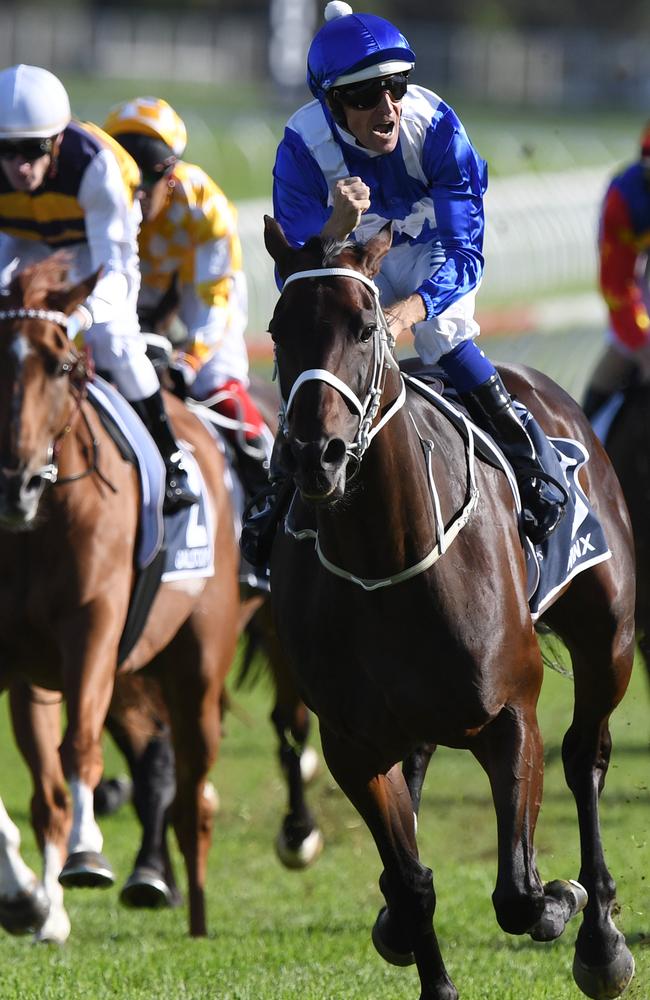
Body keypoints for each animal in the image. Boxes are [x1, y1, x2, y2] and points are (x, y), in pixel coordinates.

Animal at [0, 256, 239, 936]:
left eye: (59, 365)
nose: (15, 484)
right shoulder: (19, 661)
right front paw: (29, 900)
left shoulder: (94, 628)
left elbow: (81, 746)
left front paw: (85, 854)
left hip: (197, 668)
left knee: (192, 793)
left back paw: (194, 909)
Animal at [262, 217, 632, 1000]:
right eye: (279, 328)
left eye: (365, 326)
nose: (317, 455)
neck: (385, 556)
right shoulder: (351, 745)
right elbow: (412, 885)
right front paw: (410, 933)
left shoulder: (511, 713)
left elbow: (518, 892)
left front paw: (562, 900)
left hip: (609, 637)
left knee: (585, 756)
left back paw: (601, 938)